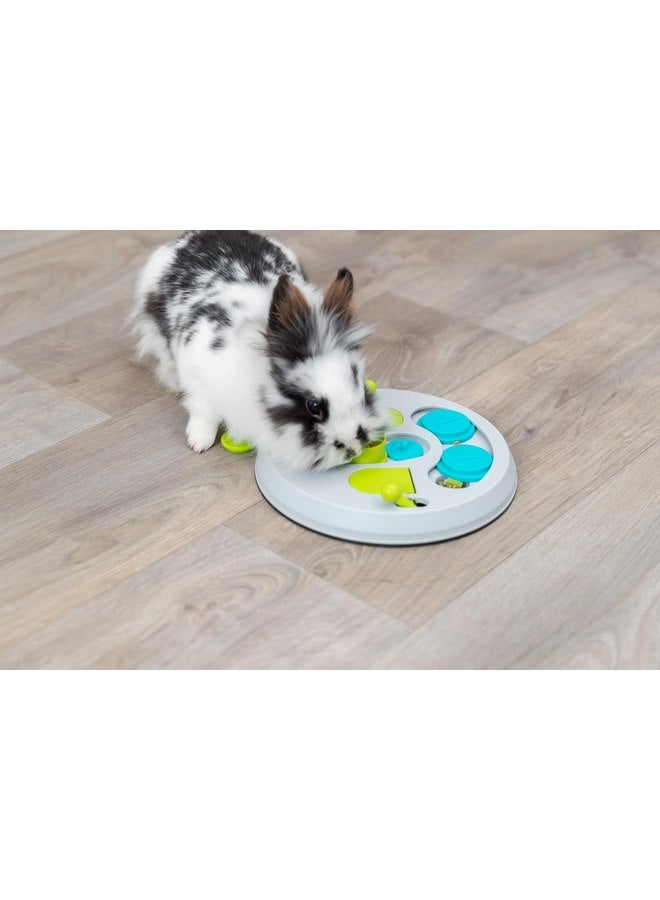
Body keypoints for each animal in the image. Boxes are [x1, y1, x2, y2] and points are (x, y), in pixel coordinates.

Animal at [130, 230, 389, 471]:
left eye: (361, 388)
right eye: (313, 406)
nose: (353, 449)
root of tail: (197, 235)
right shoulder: (197, 378)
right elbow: (203, 412)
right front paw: (198, 441)